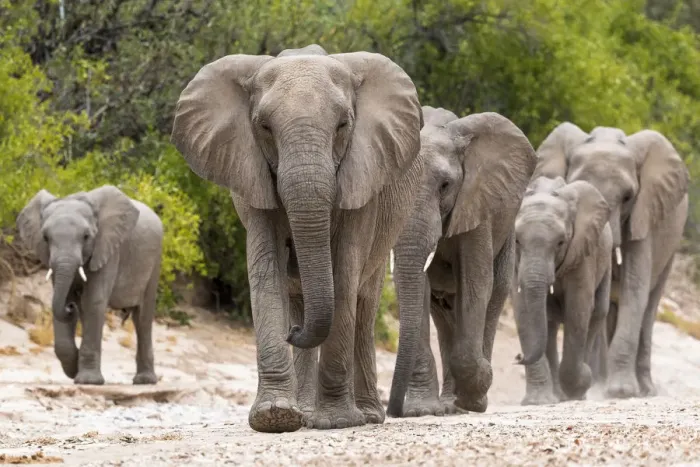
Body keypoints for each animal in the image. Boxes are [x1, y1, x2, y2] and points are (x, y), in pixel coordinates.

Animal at [16, 185, 163, 385]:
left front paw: (88, 381)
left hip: (154, 264)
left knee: (142, 318)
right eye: (45, 238)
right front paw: (74, 370)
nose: (71, 307)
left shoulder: (108, 249)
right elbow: (69, 300)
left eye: (86, 236)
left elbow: (93, 301)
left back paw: (145, 381)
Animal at [170, 44, 423, 432]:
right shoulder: (252, 176)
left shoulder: (362, 179)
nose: (292, 332)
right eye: (264, 127)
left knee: (364, 305)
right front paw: (274, 417)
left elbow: (344, 273)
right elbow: (266, 271)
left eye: (343, 126)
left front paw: (335, 421)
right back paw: (304, 413)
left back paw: (365, 416)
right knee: (302, 296)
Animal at [386, 106, 537, 418]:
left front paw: (475, 394)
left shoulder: (476, 203)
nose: (394, 411)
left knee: (494, 295)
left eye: (445, 185)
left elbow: (476, 282)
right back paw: (449, 404)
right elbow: (416, 287)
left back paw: (471, 402)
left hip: (506, 235)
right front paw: (421, 411)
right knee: (443, 316)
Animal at [511, 176, 612, 405]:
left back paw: (577, 391)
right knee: (550, 325)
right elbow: (522, 310)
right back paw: (557, 396)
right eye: (517, 241)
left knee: (597, 314)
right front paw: (537, 402)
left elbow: (578, 308)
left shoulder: (583, 252)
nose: (518, 357)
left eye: (560, 242)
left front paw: (581, 384)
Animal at [534, 123, 689, 398]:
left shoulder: (645, 211)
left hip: (672, 244)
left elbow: (635, 286)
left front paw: (622, 392)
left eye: (628, 197)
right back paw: (598, 383)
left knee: (649, 307)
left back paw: (645, 390)